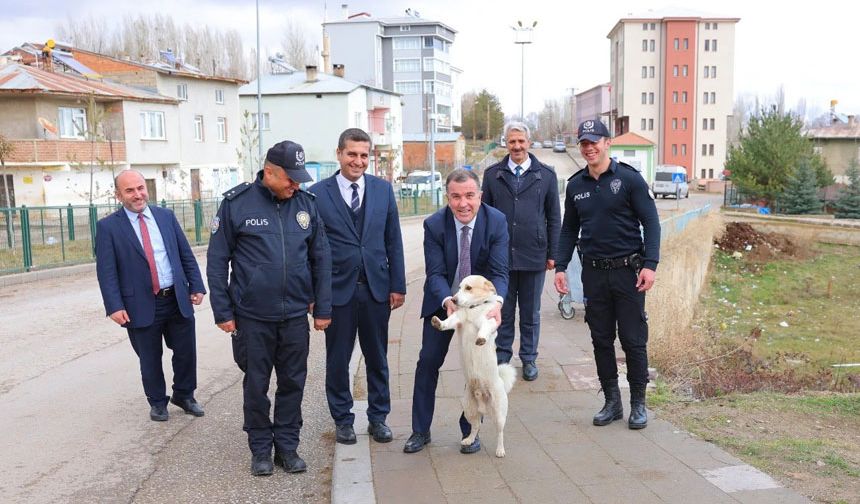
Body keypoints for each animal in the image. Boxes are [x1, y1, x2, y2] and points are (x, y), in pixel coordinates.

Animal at [434, 276, 512, 456]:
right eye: (460, 287)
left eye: (468, 288)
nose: (453, 300)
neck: (472, 309)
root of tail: (483, 402)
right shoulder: (457, 319)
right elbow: (448, 322)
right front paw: (438, 322)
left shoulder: (488, 321)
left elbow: (484, 328)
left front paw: (481, 339)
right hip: (469, 409)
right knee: (476, 427)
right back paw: (469, 440)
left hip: (499, 414)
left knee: (500, 432)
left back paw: (500, 450)